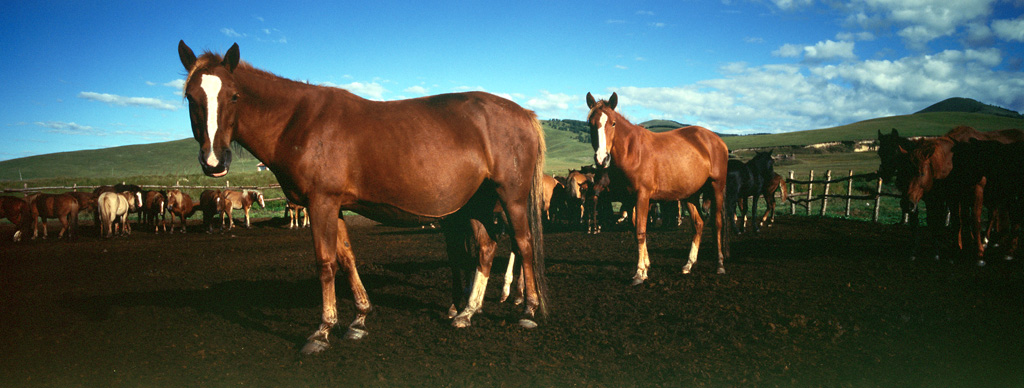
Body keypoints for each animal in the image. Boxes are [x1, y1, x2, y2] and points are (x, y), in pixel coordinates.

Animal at [182, 40, 552, 356]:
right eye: (189, 97)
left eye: (234, 96)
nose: (214, 161)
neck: (298, 121)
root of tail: (524, 113)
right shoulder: (335, 206)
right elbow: (346, 258)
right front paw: (359, 319)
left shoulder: (322, 202)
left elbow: (326, 263)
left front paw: (322, 330)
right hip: (476, 202)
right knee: (486, 248)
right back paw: (468, 312)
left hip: (511, 198)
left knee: (524, 244)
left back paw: (528, 310)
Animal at [585, 92, 729, 284]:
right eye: (591, 124)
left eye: (613, 123)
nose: (602, 158)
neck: (633, 151)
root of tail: (717, 140)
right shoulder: (631, 199)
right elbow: (636, 230)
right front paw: (646, 267)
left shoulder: (643, 196)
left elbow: (640, 231)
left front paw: (639, 273)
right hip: (690, 195)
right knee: (698, 224)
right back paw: (688, 264)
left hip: (716, 187)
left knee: (717, 224)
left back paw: (719, 264)